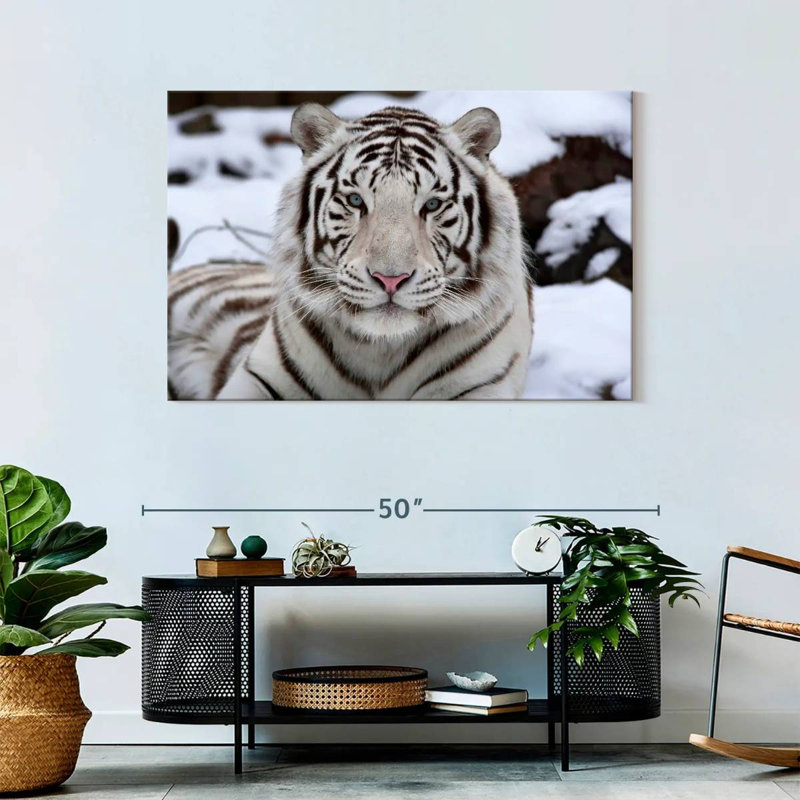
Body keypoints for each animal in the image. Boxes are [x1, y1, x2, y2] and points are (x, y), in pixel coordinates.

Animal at [168, 103, 534, 400]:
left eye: (431, 204)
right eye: (356, 200)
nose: (390, 279)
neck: (381, 351)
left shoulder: (479, 388)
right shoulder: (259, 380)